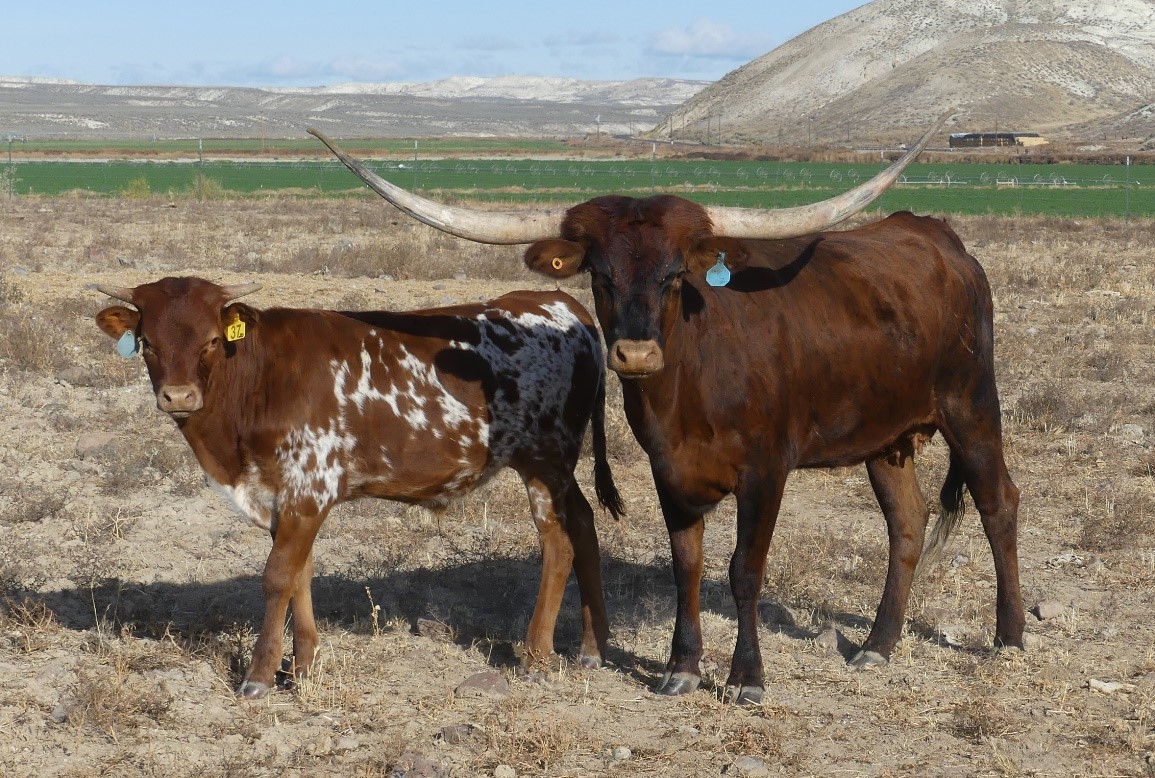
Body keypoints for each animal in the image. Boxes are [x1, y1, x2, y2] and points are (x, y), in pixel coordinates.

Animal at [94, 277, 623, 698]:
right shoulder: (287, 495)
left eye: (208, 341)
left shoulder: (309, 485)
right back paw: (592, 647)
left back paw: (536, 653)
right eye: (147, 342)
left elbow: (277, 577)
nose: (178, 396)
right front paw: (304, 664)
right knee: (584, 524)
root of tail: (561, 303)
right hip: (552, 466)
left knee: (558, 542)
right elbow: (300, 573)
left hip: (545, 460)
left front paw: (259, 675)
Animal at [310, 111, 1025, 704]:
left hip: (971, 406)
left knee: (998, 503)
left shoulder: (767, 471)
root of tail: (936, 234)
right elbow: (688, 566)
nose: (635, 354)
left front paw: (745, 678)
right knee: (907, 522)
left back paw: (1009, 637)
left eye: (675, 275)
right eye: (599, 274)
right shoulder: (669, 472)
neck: (692, 389)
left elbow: (743, 571)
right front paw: (681, 669)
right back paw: (877, 646)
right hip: (888, 438)